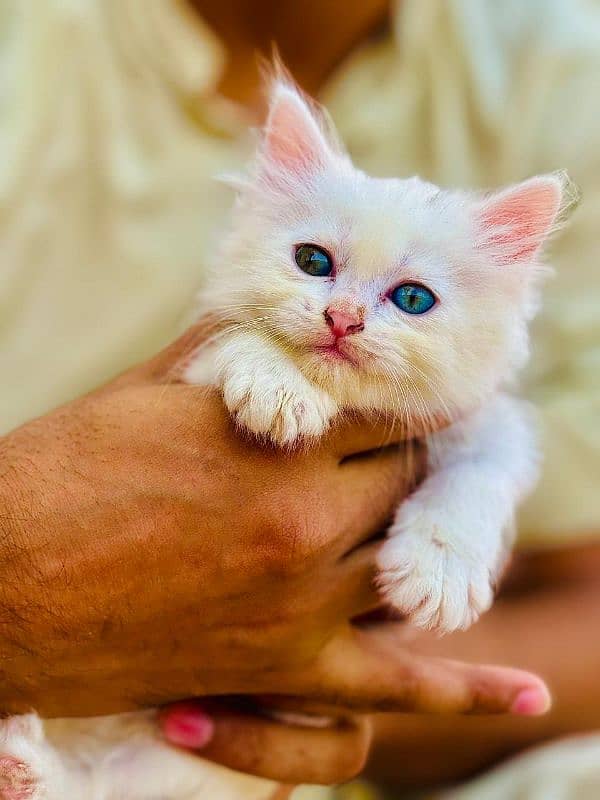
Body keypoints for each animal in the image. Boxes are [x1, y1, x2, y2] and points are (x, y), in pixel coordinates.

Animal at [0, 81, 572, 800]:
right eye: (313, 262)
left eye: (413, 299)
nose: (343, 318)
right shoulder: (191, 363)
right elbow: (243, 340)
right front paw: (282, 389)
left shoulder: (480, 420)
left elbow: (482, 472)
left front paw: (441, 569)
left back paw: (25, 771)